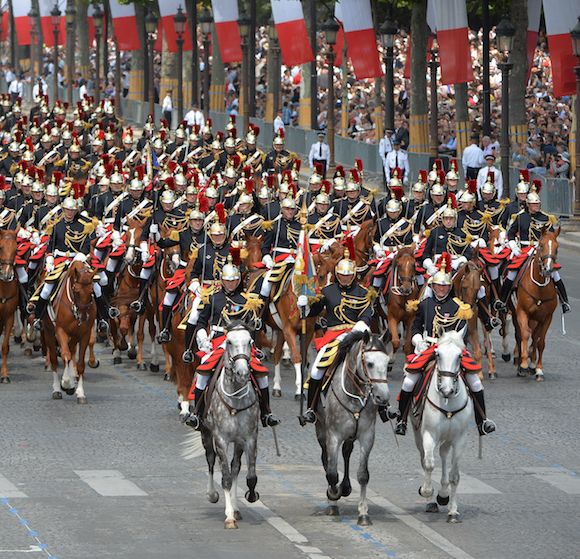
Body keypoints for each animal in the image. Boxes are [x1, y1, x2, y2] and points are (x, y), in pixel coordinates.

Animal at [44, 260, 96, 404]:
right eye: (76, 290)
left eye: (91, 291)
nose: (83, 317)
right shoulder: (60, 332)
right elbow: (65, 355)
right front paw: (66, 383)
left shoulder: (84, 334)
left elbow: (80, 364)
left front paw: (80, 393)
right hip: (49, 334)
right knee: (55, 360)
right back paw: (57, 389)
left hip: (74, 337)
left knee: (72, 352)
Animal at [202, 322, 260, 532]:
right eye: (228, 341)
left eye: (249, 341)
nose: (242, 372)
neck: (235, 398)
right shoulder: (220, 439)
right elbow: (225, 477)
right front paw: (228, 517)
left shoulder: (249, 438)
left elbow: (250, 476)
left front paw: (249, 496)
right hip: (206, 433)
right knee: (211, 461)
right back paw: (212, 494)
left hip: (238, 442)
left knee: (235, 467)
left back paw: (235, 508)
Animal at [312, 330, 390, 528]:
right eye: (369, 363)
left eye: (387, 363)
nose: (383, 397)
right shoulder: (333, 436)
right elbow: (332, 473)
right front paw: (333, 494)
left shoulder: (367, 436)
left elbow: (363, 475)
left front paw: (363, 513)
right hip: (321, 430)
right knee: (325, 459)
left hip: (350, 435)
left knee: (346, 452)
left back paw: (346, 487)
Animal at [410, 330, 474, 524]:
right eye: (437, 354)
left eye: (460, 356)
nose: (446, 390)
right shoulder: (428, 434)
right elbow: (429, 464)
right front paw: (427, 491)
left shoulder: (460, 439)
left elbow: (455, 475)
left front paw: (453, 511)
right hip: (419, 435)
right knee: (425, 459)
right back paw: (432, 500)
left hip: (447, 438)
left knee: (444, 454)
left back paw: (444, 493)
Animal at [516, 230, 560, 382]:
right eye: (541, 246)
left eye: (557, 248)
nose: (547, 269)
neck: (539, 287)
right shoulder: (522, 312)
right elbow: (524, 334)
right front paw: (523, 363)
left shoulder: (547, 317)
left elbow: (540, 342)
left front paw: (538, 369)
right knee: (521, 334)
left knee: (535, 337)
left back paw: (532, 362)